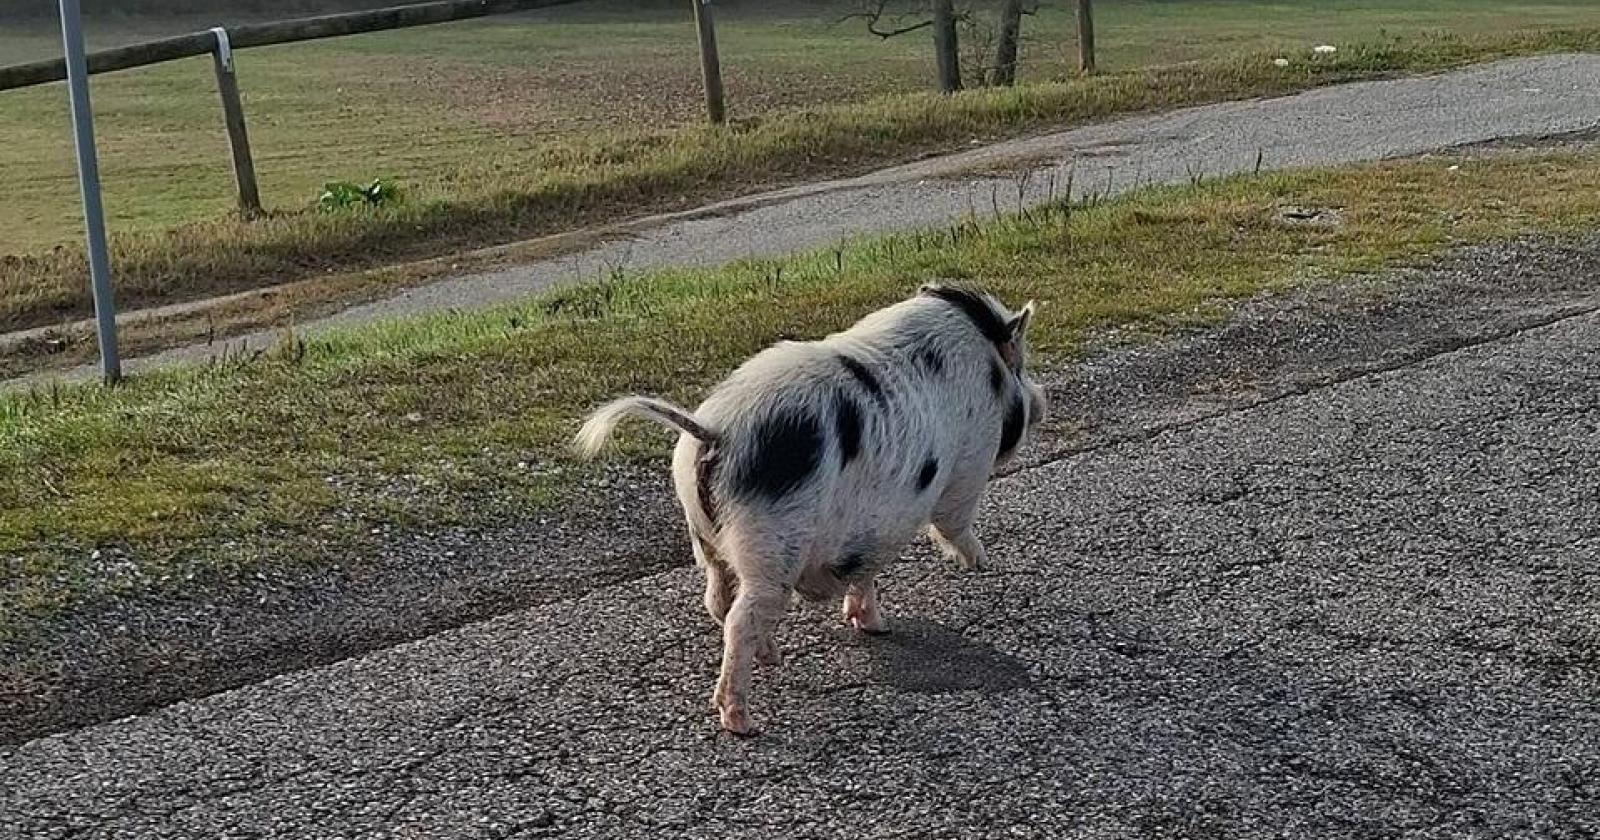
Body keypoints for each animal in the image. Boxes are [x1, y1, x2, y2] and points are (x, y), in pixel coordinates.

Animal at [574, 284, 1047, 735]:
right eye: (1021, 368)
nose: (1041, 403)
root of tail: (715, 433)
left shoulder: (870, 530)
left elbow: (865, 571)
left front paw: (875, 626)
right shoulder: (970, 460)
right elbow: (952, 521)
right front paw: (979, 562)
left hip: (705, 536)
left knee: (718, 601)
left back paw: (771, 658)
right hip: (770, 548)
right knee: (739, 621)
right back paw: (742, 721)